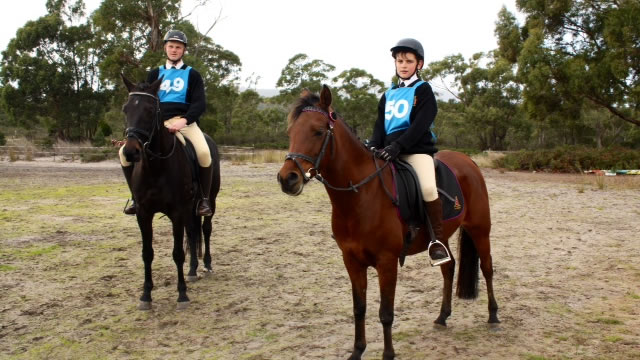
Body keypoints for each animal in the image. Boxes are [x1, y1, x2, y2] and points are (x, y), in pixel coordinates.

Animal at [121, 74, 221, 310]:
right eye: (126, 109)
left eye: (150, 110)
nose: (130, 151)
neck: (156, 167)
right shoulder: (143, 213)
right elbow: (147, 253)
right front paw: (146, 296)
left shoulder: (176, 212)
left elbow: (177, 253)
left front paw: (182, 295)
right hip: (189, 209)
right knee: (192, 233)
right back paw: (192, 271)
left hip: (208, 201)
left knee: (205, 229)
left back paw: (206, 265)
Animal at [278, 85, 498, 360]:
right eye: (291, 132)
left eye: (318, 131)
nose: (287, 179)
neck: (361, 196)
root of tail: (468, 161)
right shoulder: (352, 261)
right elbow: (359, 308)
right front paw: (357, 351)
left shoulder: (387, 262)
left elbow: (385, 313)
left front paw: (388, 354)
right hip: (442, 236)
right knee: (448, 267)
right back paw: (442, 317)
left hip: (480, 229)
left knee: (487, 268)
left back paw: (493, 316)